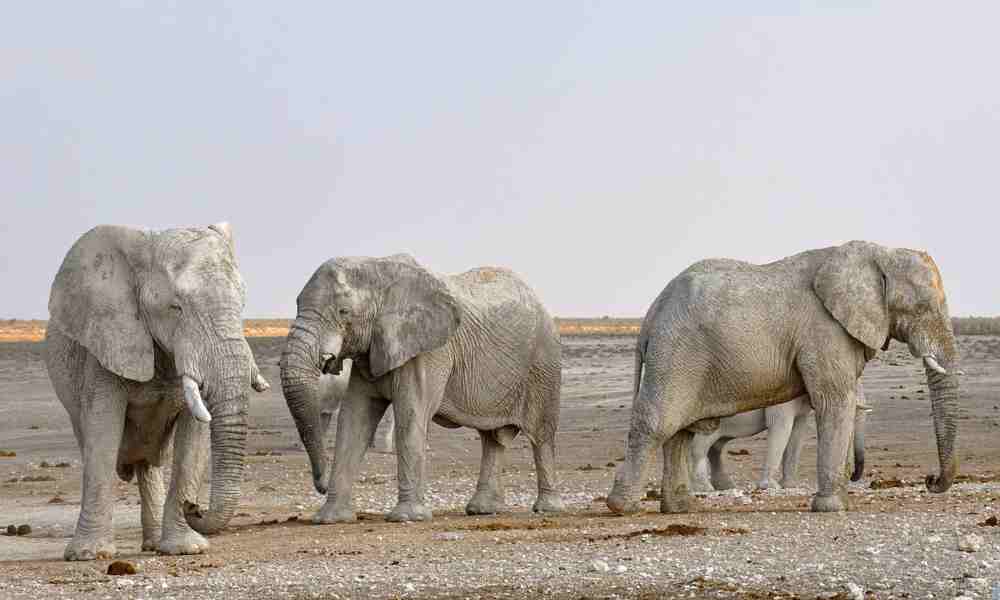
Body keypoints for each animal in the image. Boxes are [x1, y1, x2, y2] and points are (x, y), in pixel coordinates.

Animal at [44, 223, 269, 560]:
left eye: (242, 305)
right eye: (176, 308)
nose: (196, 506)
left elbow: (193, 440)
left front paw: (186, 549)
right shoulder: (106, 342)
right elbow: (103, 433)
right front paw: (89, 555)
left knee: (147, 464)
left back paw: (153, 545)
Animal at [280, 254, 565, 523]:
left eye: (343, 311)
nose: (320, 485)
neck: (378, 269)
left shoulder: (429, 351)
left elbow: (410, 416)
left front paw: (407, 517)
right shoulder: (371, 350)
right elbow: (354, 420)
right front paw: (330, 519)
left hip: (544, 363)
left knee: (541, 435)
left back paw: (547, 508)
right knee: (492, 439)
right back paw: (483, 510)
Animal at [688, 383, 870, 493]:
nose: (852, 476)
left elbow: (797, 432)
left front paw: (789, 486)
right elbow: (781, 427)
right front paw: (771, 487)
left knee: (715, 448)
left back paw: (723, 487)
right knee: (700, 448)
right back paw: (704, 489)